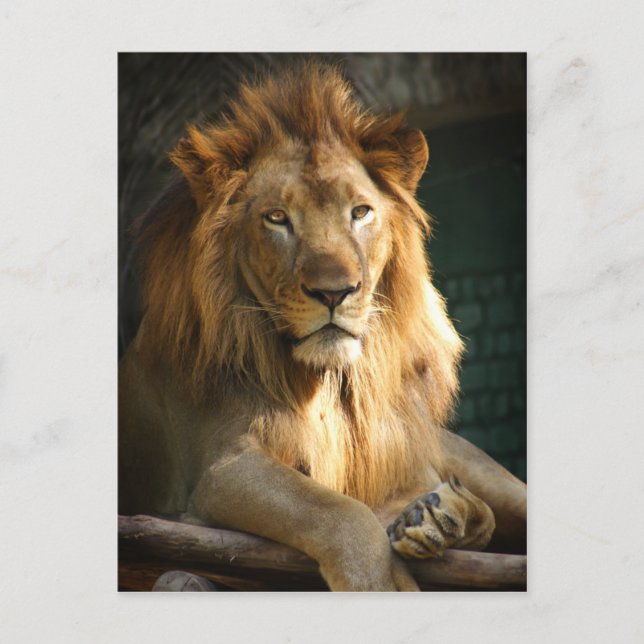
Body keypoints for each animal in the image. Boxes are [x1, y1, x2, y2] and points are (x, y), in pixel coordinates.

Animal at [119, 62, 526, 591]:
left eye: (361, 212)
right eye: (276, 218)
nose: (335, 292)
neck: (329, 384)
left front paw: (432, 519)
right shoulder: (221, 470)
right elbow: (338, 511)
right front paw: (382, 582)